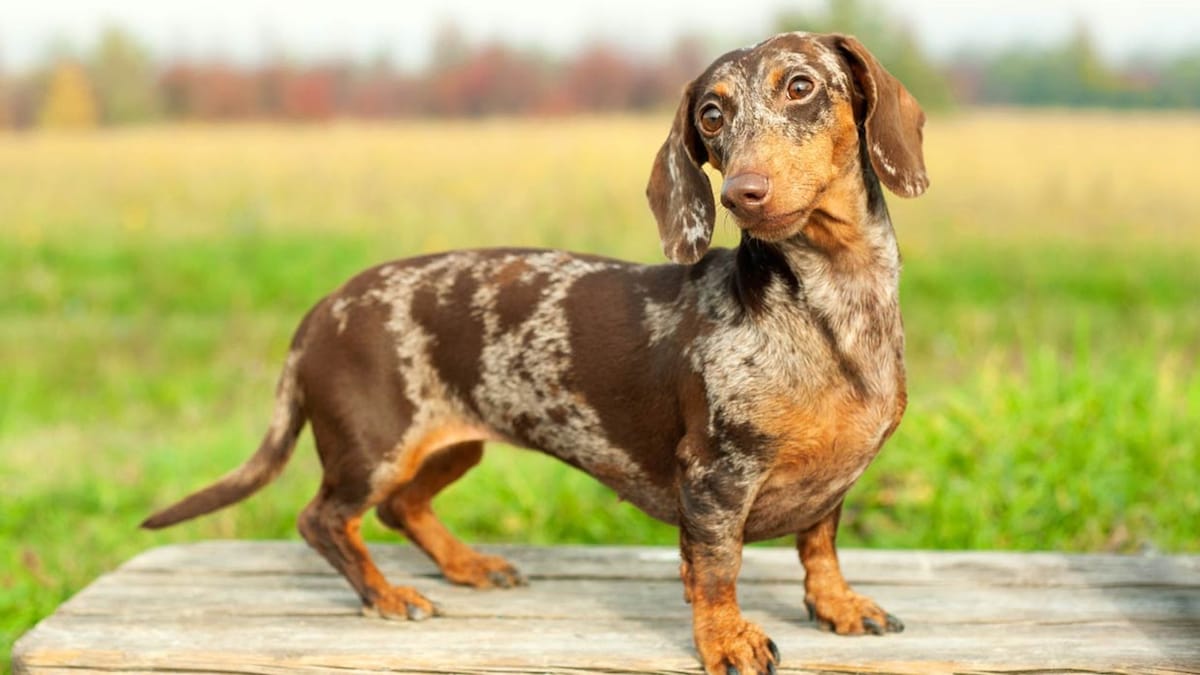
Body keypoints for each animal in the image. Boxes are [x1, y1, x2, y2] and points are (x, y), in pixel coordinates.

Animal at [142, 32, 926, 672]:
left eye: (801, 86)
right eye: (710, 115)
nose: (742, 194)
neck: (830, 304)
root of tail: (324, 308)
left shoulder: (832, 481)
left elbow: (819, 546)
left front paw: (838, 604)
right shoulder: (714, 478)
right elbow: (716, 570)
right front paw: (727, 640)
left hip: (451, 445)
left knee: (401, 508)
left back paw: (466, 564)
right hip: (374, 447)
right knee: (325, 518)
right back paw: (386, 593)